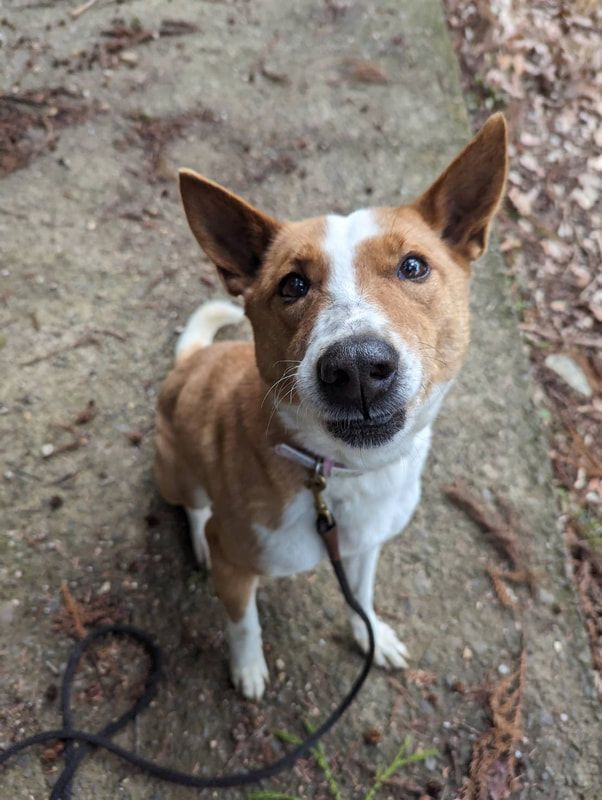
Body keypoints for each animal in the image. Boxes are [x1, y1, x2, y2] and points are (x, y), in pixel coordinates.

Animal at [155, 112, 506, 700]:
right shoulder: (235, 564)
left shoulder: (365, 547)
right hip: (176, 470)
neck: (341, 476)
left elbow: (359, 596)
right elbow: (243, 622)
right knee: (194, 505)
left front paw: (371, 636)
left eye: (414, 267)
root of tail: (190, 359)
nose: (357, 368)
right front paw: (247, 669)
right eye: (292, 284)